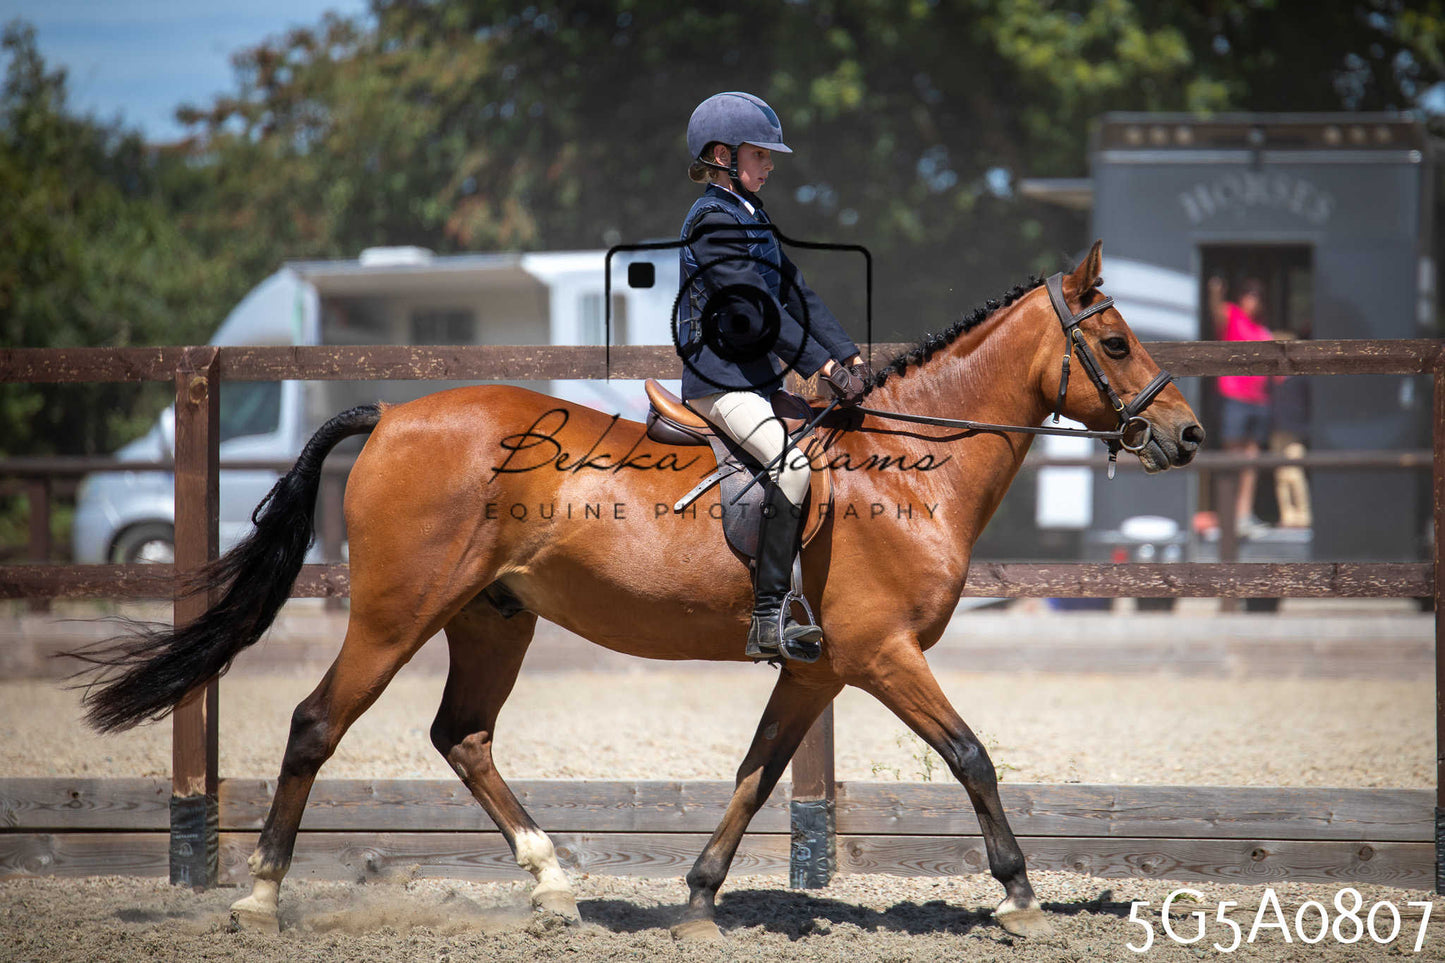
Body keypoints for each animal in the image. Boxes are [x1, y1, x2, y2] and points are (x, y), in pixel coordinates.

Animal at [74, 242, 1202, 941]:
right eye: (1112, 343)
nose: (1185, 434)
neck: (899, 471)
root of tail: (393, 415)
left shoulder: (820, 668)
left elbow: (756, 771)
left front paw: (698, 898)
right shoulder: (881, 652)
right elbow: (970, 755)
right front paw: (1018, 896)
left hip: (493, 618)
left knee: (462, 736)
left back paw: (553, 883)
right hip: (396, 613)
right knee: (317, 723)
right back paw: (260, 900)